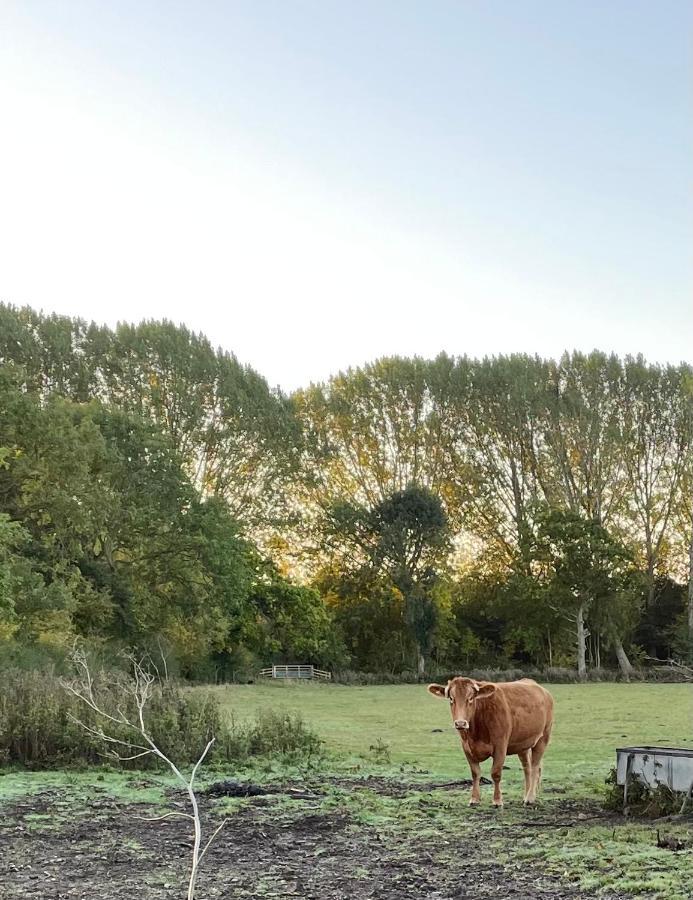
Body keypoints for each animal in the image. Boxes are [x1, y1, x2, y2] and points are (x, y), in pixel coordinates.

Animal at [424, 676, 556, 808]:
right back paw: (526, 795)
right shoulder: (466, 748)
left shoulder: (500, 746)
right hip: (523, 745)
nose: (460, 723)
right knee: (527, 767)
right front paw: (474, 799)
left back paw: (530, 798)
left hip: (543, 738)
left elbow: (496, 773)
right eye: (451, 698)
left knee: (535, 767)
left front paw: (497, 800)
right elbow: (475, 773)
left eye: (471, 698)